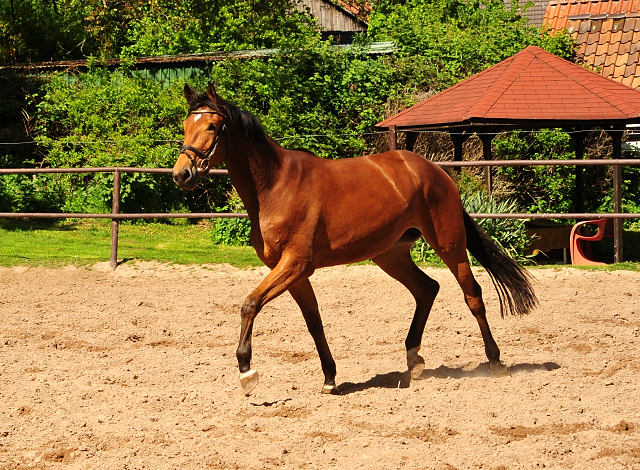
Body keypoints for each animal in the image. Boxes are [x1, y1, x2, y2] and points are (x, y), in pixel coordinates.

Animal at [172, 83, 536, 392]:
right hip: (390, 254)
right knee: (427, 289)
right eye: (185, 126)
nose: (181, 174)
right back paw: (414, 359)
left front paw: (247, 371)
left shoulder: (295, 264)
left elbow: (250, 304)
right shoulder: (293, 272)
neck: (275, 186)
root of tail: (436, 171)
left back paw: (495, 362)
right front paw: (330, 378)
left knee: (472, 295)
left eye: (212, 127)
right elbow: (313, 321)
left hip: (449, 244)